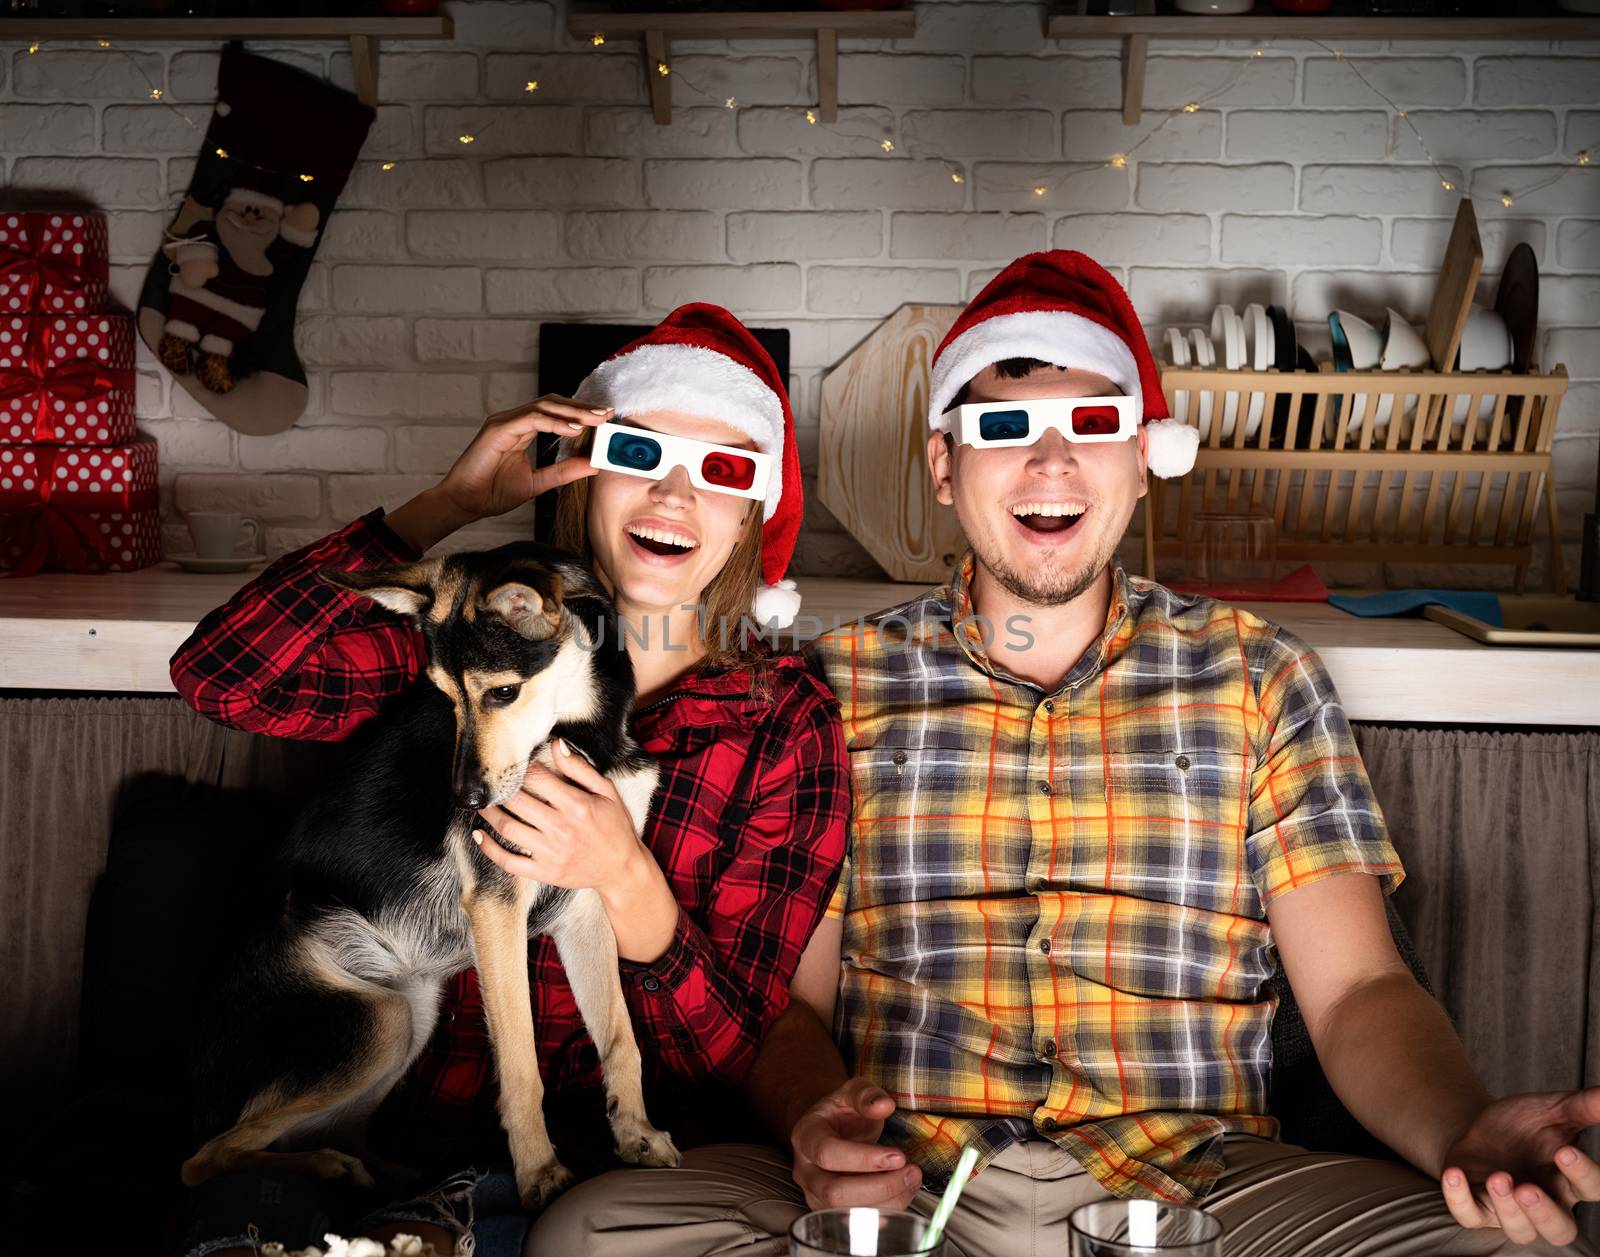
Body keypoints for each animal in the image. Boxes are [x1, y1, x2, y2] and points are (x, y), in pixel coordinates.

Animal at [181, 537, 681, 1202]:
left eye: (501, 694)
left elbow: (620, 1036)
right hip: (381, 1022)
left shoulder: (587, 898)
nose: (467, 802)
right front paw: (538, 1173)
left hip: (409, 1016)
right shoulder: (497, 904)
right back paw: (329, 1169)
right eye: (445, 696)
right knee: (205, 1159)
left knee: (333, 1133)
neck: (582, 734)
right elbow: (520, 1065)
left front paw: (637, 1135)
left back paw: (393, 1177)